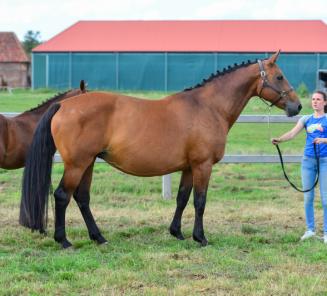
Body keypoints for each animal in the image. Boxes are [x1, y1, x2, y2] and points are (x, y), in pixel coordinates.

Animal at [19, 51, 302, 247]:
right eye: (279, 76)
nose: (297, 107)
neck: (208, 107)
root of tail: (64, 105)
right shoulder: (203, 165)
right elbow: (200, 201)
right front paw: (201, 238)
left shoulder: (189, 167)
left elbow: (182, 198)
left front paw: (177, 232)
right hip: (77, 164)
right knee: (62, 196)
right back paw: (64, 240)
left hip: (87, 163)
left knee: (82, 198)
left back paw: (98, 237)